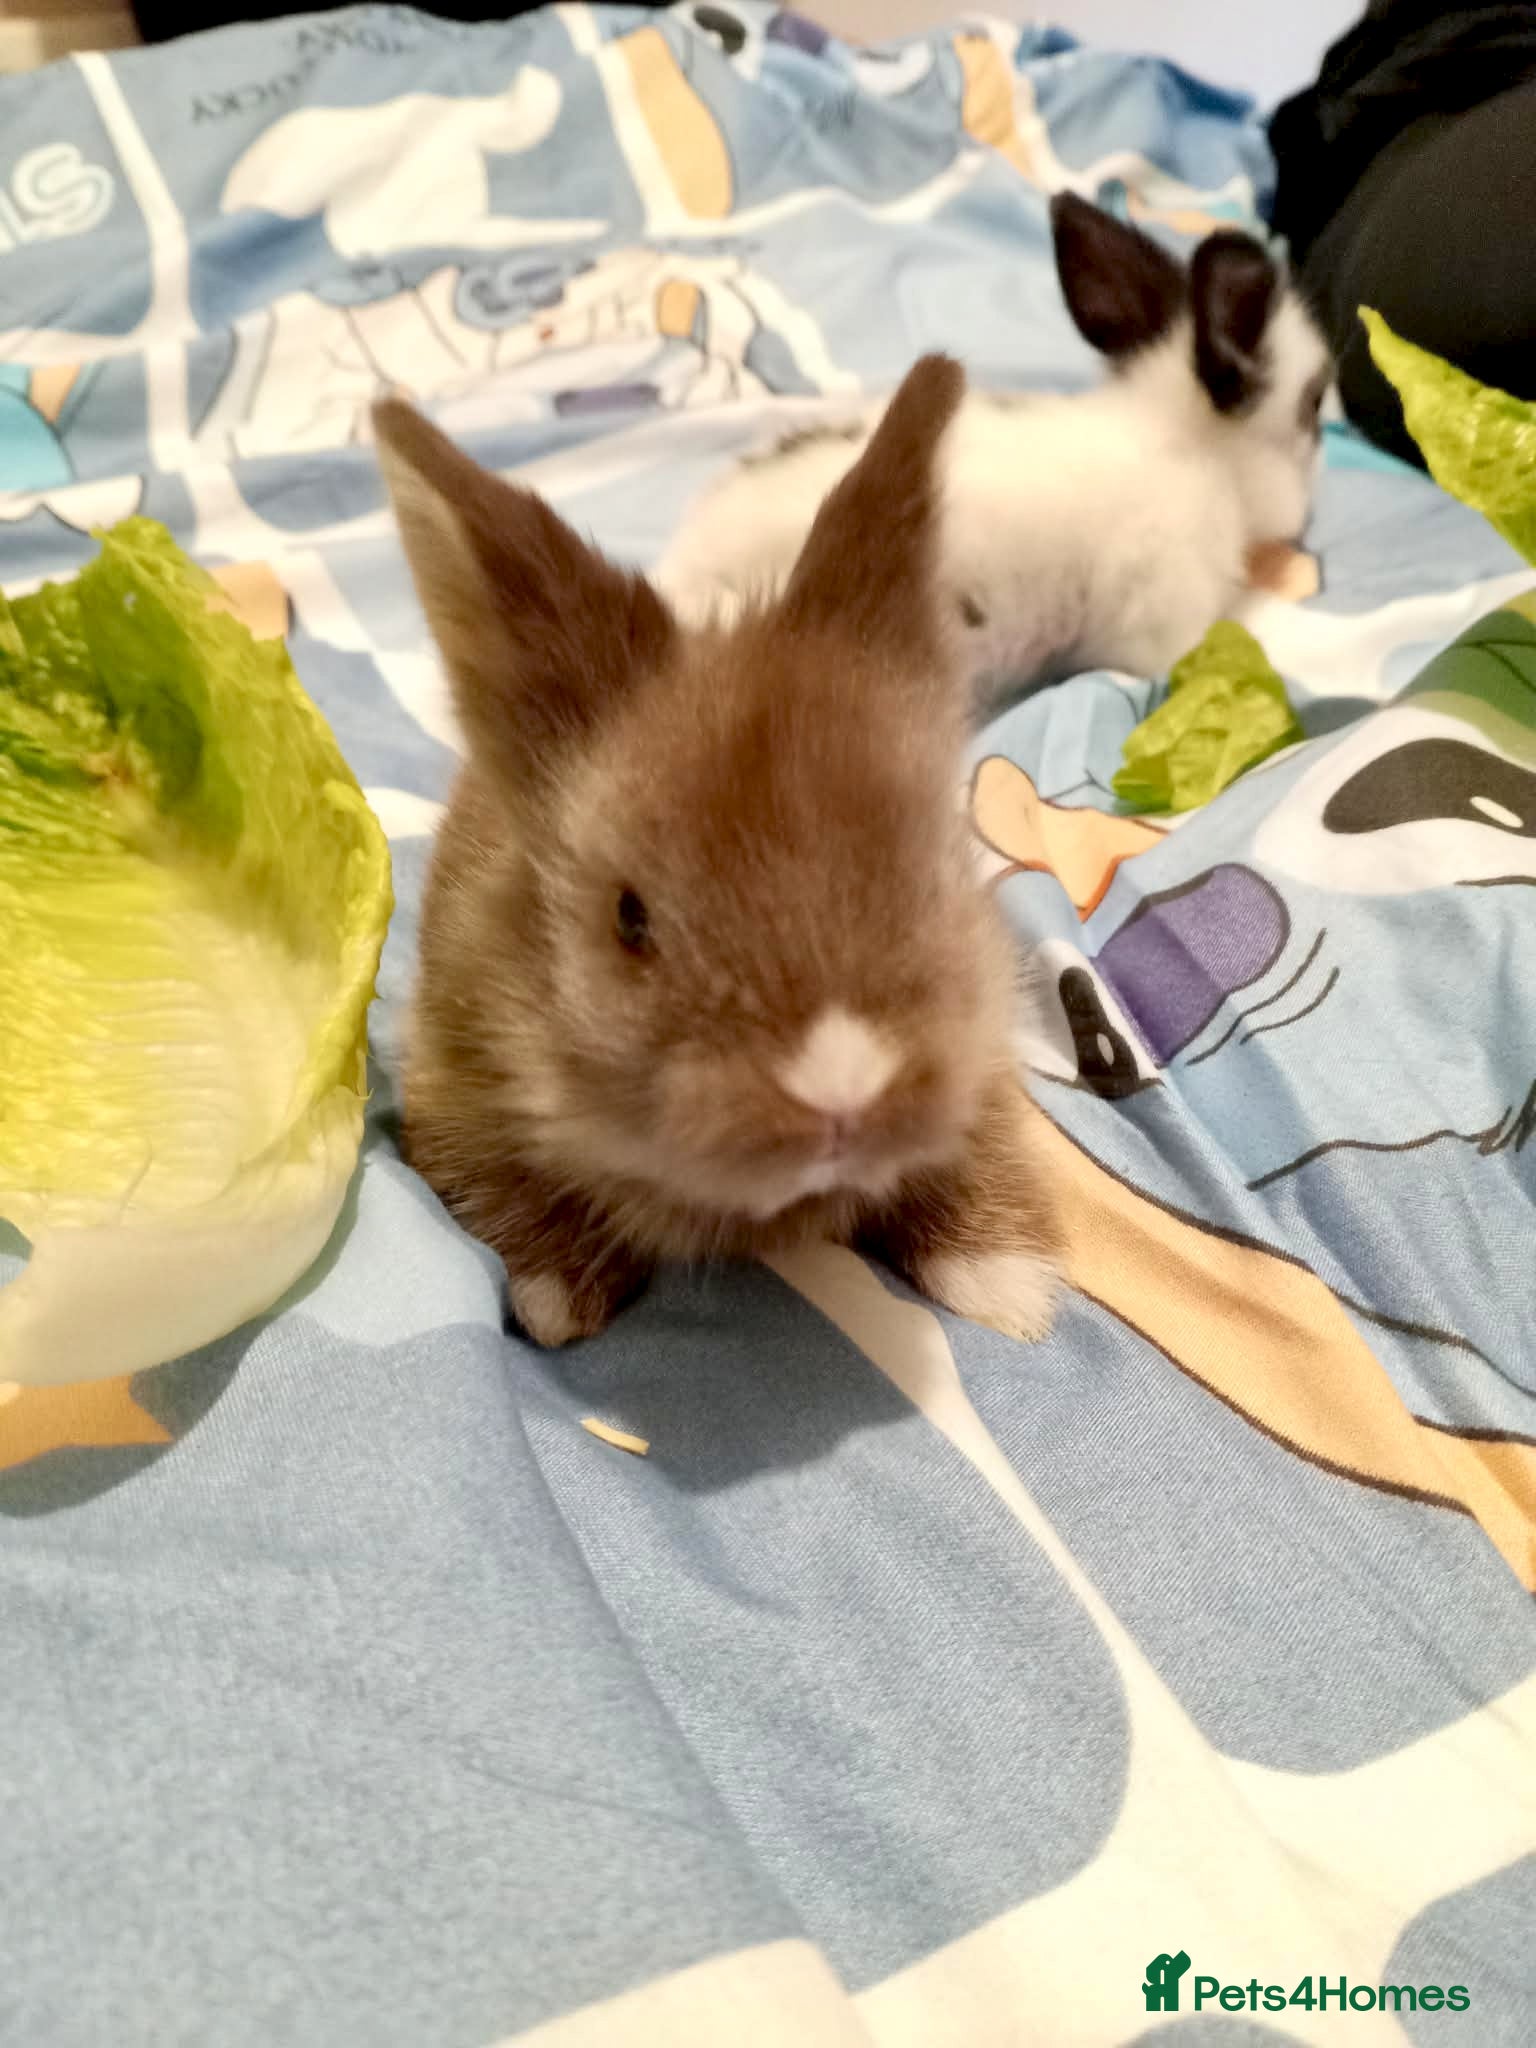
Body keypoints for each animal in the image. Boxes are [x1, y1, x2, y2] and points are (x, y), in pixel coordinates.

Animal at [373, 356, 1064, 1349]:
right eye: (630, 920)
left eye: (936, 873)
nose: (840, 1094)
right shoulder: (448, 1070)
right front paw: (555, 1302)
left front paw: (1010, 1289)